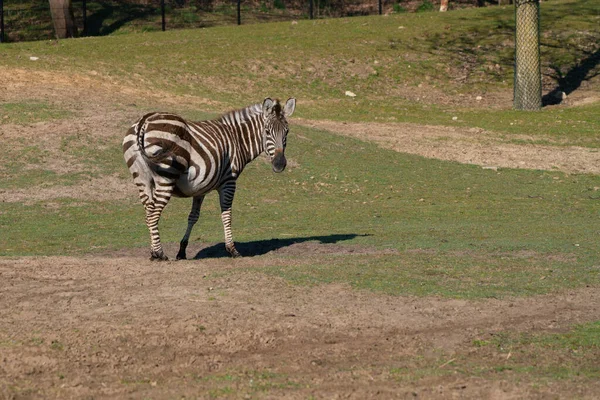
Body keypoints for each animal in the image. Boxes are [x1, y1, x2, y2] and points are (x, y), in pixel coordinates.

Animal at [123, 97, 296, 260]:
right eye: (267, 131)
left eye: (287, 131)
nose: (279, 164)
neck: (237, 139)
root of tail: (146, 120)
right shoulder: (228, 182)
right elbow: (227, 215)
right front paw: (232, 249)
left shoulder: (201, 187)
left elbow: (193, 217)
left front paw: (182, 251)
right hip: (166, 177)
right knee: (154, 213)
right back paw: (159, 253)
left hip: (142, 179)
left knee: (148, 212)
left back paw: (153, 252)